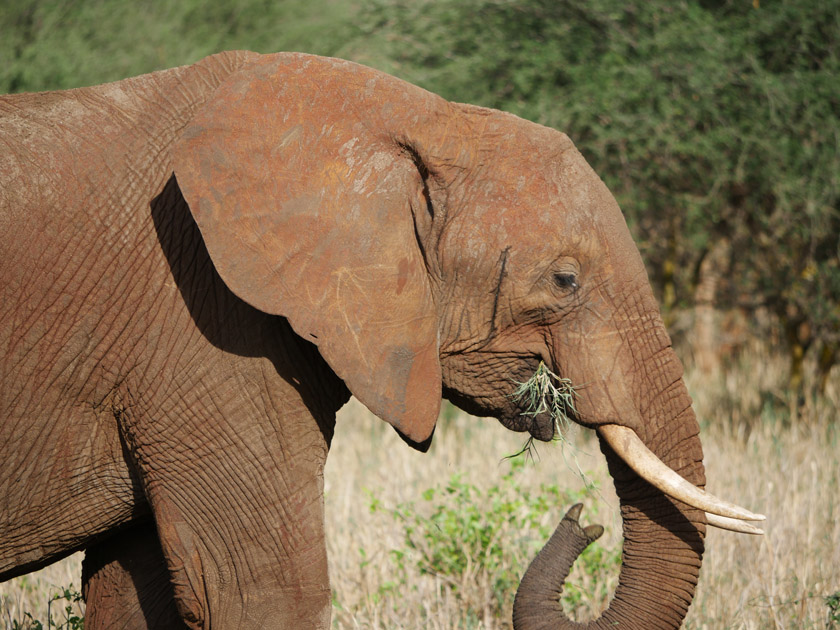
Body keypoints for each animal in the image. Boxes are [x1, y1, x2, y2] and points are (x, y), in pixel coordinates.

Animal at [0, 51, 760, 628]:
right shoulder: (202, 329)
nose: (581, 521)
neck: (408, 118)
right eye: (565, 279)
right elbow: (262, 593)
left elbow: (136, 591)